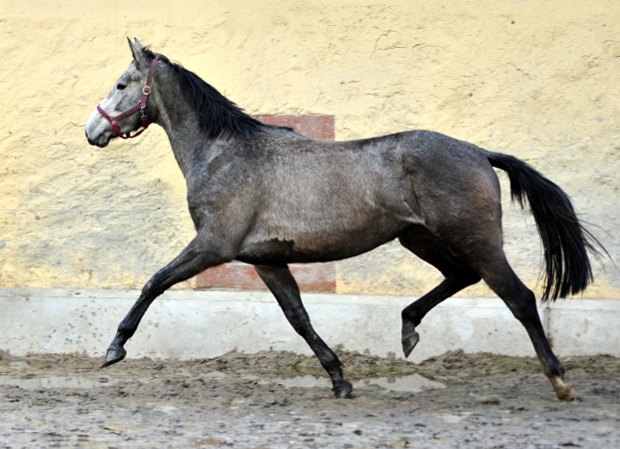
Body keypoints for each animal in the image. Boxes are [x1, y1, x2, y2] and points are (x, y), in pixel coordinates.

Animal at [85, 39, 600, 400]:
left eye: (122, 84)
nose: (91, 131)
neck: (223, 153)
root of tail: (479, 153)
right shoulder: (266, 259)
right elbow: (298, 317)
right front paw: (339, 379)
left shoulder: (214, 245)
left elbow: (154, 282)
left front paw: (115, 348)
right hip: (420, 239)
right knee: (460, 277)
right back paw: (408, 329)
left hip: (475, 239)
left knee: (520, 298)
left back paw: (560, 382)